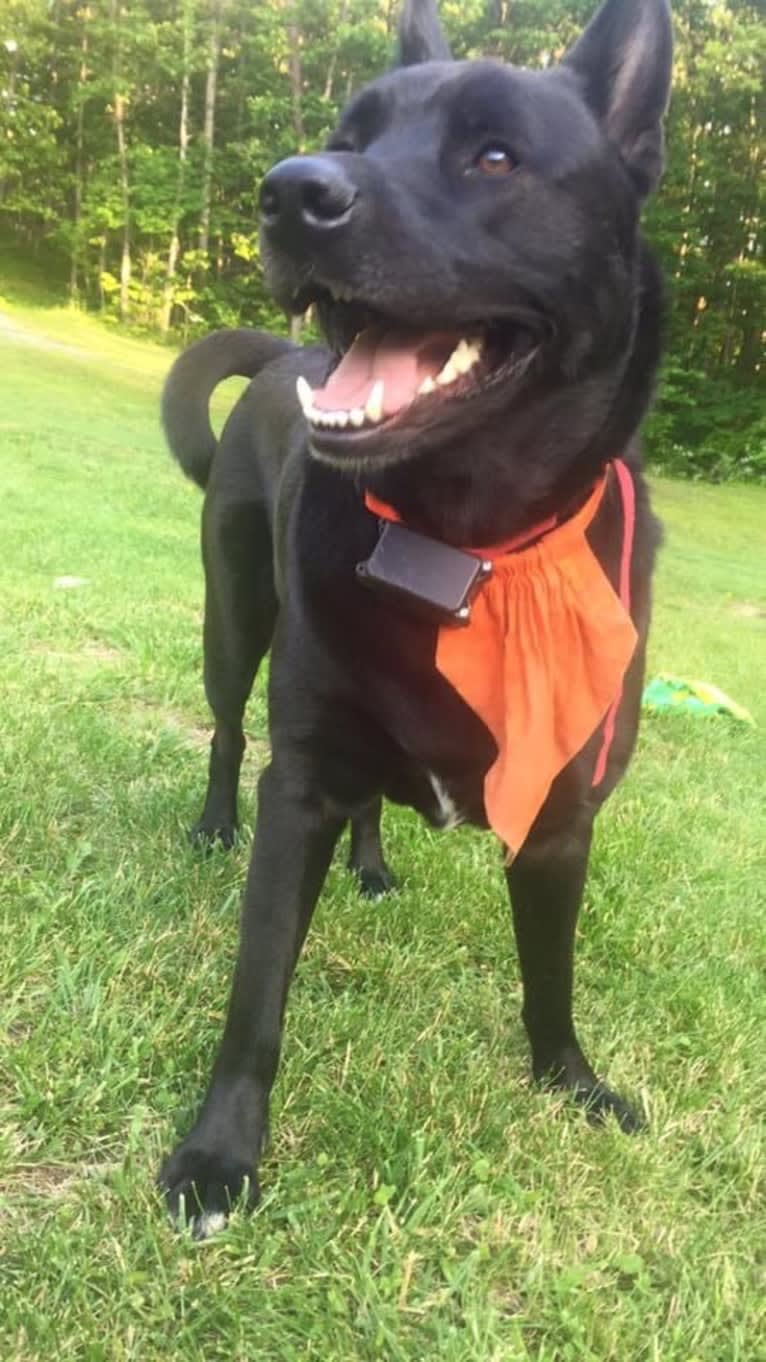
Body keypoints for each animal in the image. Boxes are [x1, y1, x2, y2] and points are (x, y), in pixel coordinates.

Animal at [159, 0, 667, 1236]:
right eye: (350, 135)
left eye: (495, 157)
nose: (290, 190)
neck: (462, 549)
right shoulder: (300, 787)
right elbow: (256, 998)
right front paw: (218, 1156)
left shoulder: (563, 817)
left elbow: (550, 974)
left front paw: (571, 1082)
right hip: (234, 622)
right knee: (227, 728)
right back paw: (212, 824)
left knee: (374, 805)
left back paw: (376, 864)